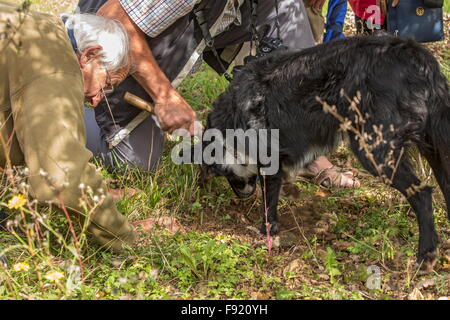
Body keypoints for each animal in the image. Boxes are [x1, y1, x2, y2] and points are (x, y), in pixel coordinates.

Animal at [203, 35, 450, 268]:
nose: (243, 195)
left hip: (374, 150)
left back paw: (426, 255)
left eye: (226, 175)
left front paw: (267, 230)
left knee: (422, 194)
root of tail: (415, 55)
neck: (236, 114)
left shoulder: (270, 161)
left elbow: (268, 201)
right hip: (433, 146)